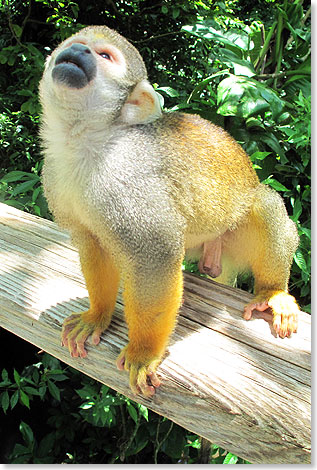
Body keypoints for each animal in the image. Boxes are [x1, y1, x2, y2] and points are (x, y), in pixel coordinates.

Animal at [39, 25, 298, 396]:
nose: (78, 52)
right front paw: (97, 316)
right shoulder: (55, 175)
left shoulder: (130, 180)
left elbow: (156, 255)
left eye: (104, 56)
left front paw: (144, 351)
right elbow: (92, 244)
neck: (87, 143)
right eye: (77, 44)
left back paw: (274, 291)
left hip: (234, 236)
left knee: (263, 204)